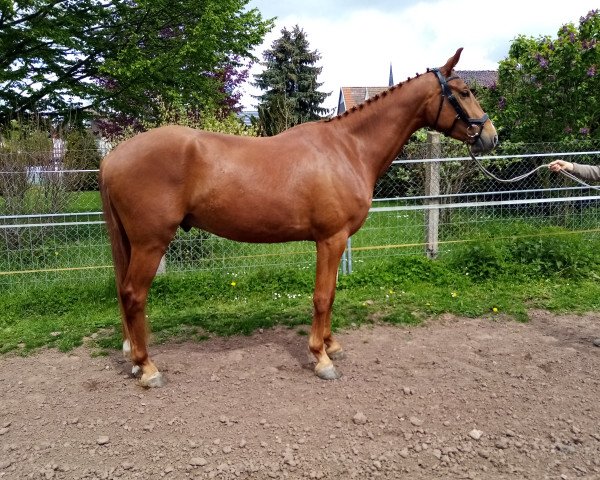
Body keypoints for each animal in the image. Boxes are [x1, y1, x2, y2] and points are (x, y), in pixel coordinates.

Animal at [101, 47, 500, 386]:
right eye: (464, 92)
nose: (490, 137)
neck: (348, 148)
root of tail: (113, 157)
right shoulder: (331, 238)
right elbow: (322, 296)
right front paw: (321, 358)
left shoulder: (334, 241)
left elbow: (332, 293)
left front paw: (331, 344)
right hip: (151, 243)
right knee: (134, 295)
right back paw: (148, 368)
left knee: (124, 294)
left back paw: (134, 359)